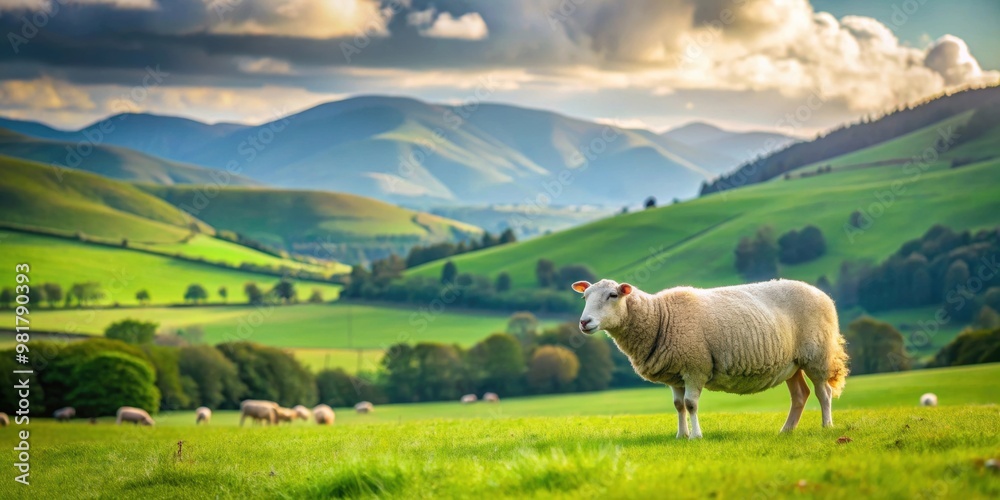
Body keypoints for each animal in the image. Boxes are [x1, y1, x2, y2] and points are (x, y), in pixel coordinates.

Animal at [573, 278, 849, 439]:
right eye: (585, 297)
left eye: (612, 295)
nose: (584, 322)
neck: (660, 317)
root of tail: (823, 295)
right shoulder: (675, 374)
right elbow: (678, 405)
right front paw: (681, 436)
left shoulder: (695, 367)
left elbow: (691, 405)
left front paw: (696, 436)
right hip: (792, 364)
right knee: (800, 395)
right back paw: (786, 430)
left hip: (816, 355)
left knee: (823, 393)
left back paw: (827, 426)